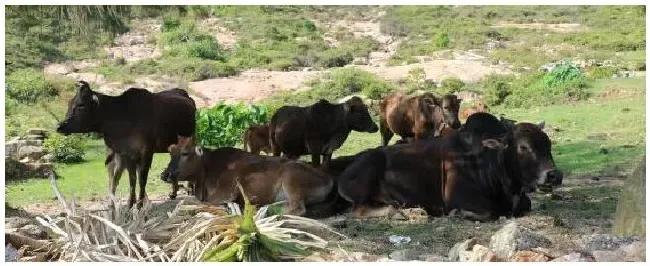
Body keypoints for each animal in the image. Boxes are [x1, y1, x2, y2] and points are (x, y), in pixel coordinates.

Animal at [57, 80, 195, 208]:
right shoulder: (127, 154)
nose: (59, 127)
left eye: (81, 105)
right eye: (69, 103)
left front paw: (139, 204)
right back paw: (173, 192)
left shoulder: (146, 152)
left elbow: (142, 179)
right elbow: (132, 179)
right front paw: (130, 204)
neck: (123, 116)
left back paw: (190, 189)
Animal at [163, 137, 334, 216]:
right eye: (170, 151)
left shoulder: (224, 193)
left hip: (290, 179)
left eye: (185, 153)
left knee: (297, 209)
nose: (165, 174)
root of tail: (328, 178)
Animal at [336, 112, 560, 222]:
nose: (554, 175)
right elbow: (491, 212)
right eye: (523, 147)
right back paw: (400, 212)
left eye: (548, 143)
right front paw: (458, 214)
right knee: (359, 210)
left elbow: (526, 205)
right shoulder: (459, 198)